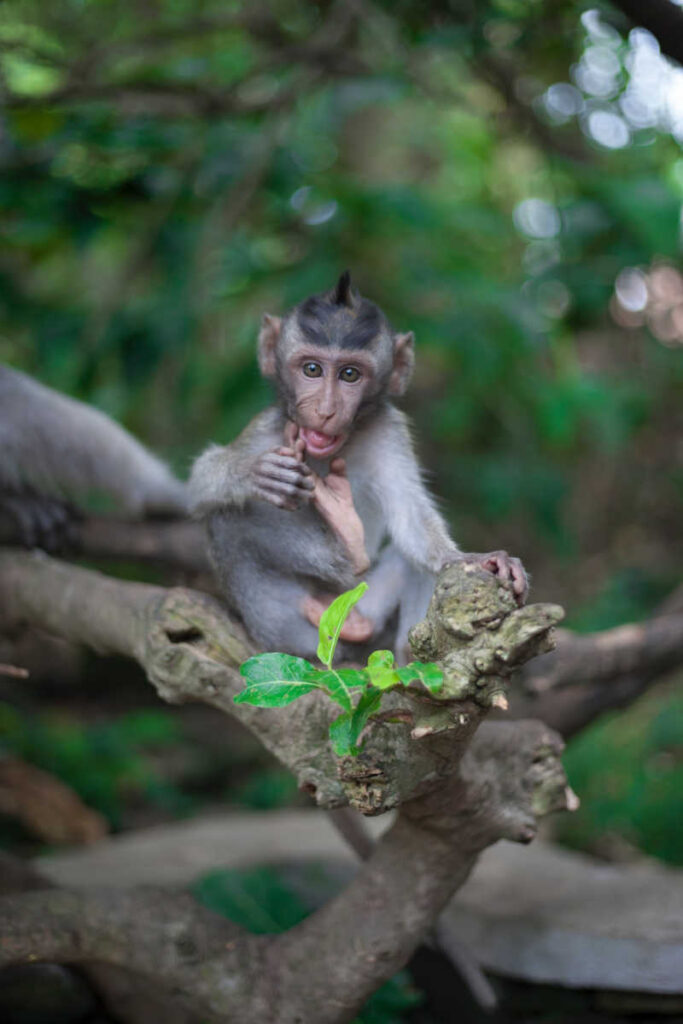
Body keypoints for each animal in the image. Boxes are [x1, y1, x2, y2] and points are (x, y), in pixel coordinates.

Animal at [189, 272, 528, 659]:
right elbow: (199, 485)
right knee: (225, 519)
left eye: (350, 375)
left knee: (404, 560)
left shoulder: (389, 430)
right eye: (312, 369)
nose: (325, 410)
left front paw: (470, 558)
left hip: (362, 604)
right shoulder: (267, 429)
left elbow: (411, 520)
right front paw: (255, 472)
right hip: (282, 626)